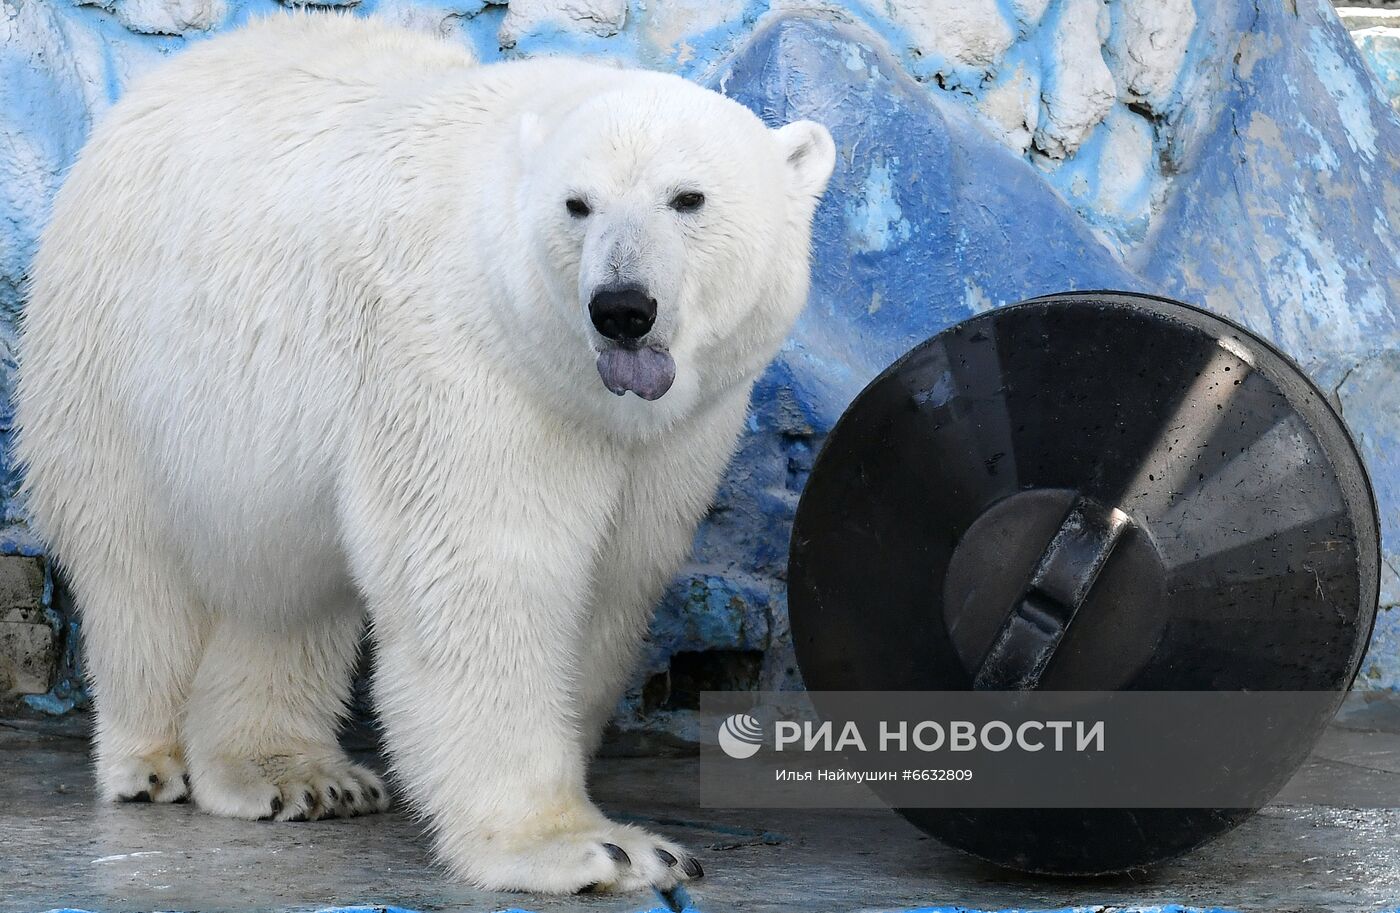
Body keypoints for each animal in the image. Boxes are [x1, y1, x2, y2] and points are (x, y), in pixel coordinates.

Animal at [13, 10, 828, 896]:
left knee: (282, 589)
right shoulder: (465, 360)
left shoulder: (680, 431)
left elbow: (615, 577)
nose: (621, 308)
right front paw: (592, 847)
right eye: (577, 205)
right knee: (139, 567)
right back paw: (152, 760)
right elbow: (484, 570)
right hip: (117, 359)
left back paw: (293, 774)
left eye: (689, 197)